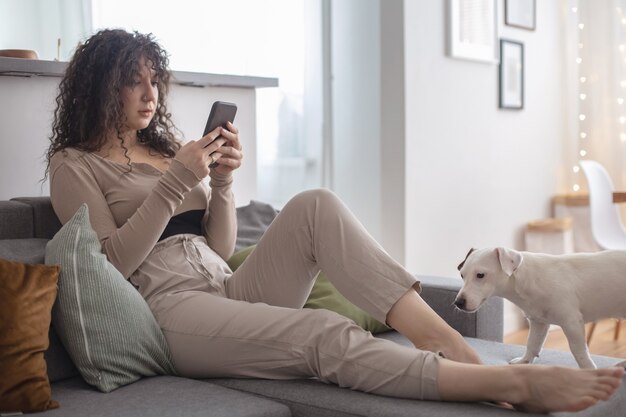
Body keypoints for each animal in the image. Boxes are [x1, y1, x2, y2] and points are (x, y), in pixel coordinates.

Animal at [454, 247, 624, 368]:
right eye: (462, 275)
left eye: (480, 275)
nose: (458, 303)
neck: (531, 278)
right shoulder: (538, 322)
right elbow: (532, 344)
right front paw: (524, 361)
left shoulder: (572, 323)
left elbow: (579, 352)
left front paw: (589, 371)